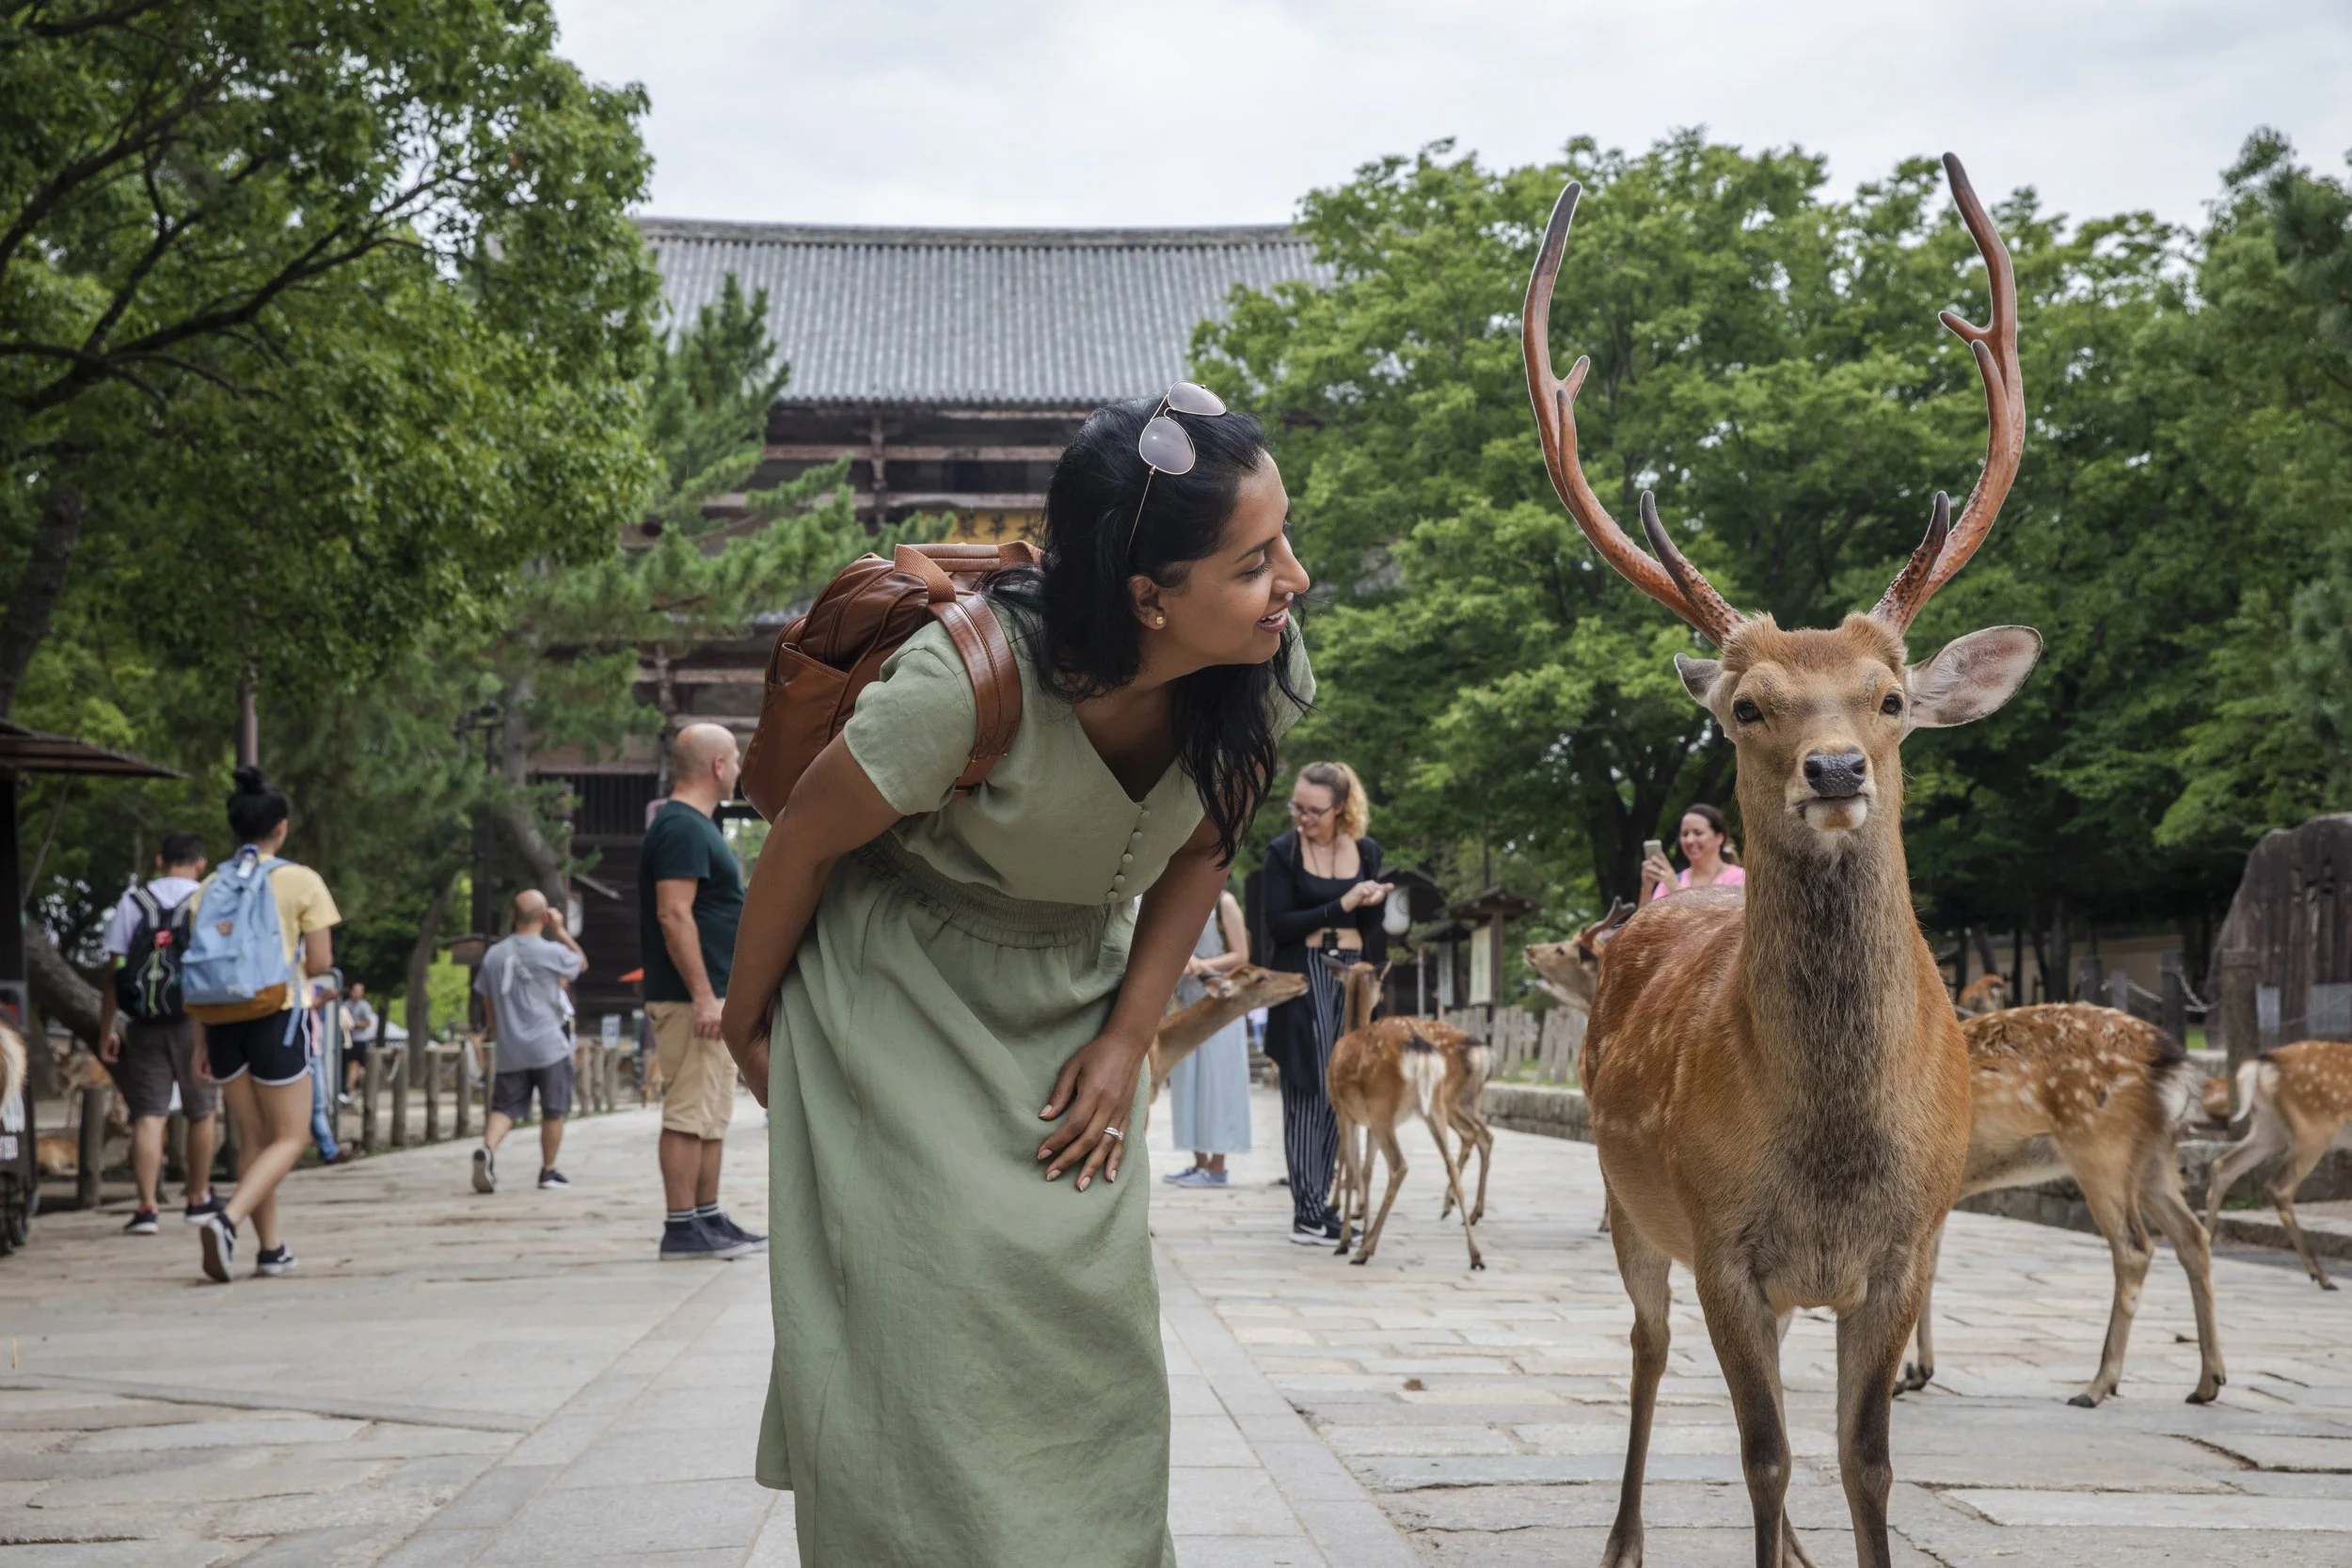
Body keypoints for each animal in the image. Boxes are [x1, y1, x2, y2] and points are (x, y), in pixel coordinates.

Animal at [1323, 958, 1485, 1270]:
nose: (1381, 998)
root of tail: (1419, 1048)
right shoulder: (1365, 1122)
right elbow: (1366, 1170)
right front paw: (1361, 1227)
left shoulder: (1344, 1112)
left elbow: (1350, 1166)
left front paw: (1347, 1239)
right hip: (1433, 1108)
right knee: (1452, 1164)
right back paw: (1475, 1254)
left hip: (1383, 1107)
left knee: (1399, 1166)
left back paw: (1364, 1251)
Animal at [1525, 153, 2041, 1568]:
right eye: (1747, 704)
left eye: (1891, 696)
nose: (1835, 770)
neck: (1829, 1152)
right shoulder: (1722, 1242)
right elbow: (1763, 1454)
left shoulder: (1903, 1249)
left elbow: (1864, 1461)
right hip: (1627, 1199)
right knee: (1646, 1352)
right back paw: (1621, 1537)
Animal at [1897, 1004, 2222, 1407]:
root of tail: (2169, 1061)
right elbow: (1927, 1271)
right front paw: (1916, 1372)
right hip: (2153, 1159)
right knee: (2193, 1236)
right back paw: (2207, 1382)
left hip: (2100, 1147)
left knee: (2135, 1248)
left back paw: (2097, 1386)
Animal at [2203, 1039, 2352, 1291]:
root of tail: (2261, 1063)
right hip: (2314, 1128)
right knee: (2279, 1186)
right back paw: (2321, 1275)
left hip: (2269, 1127)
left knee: (2222, 1166)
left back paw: (2204, 1250)